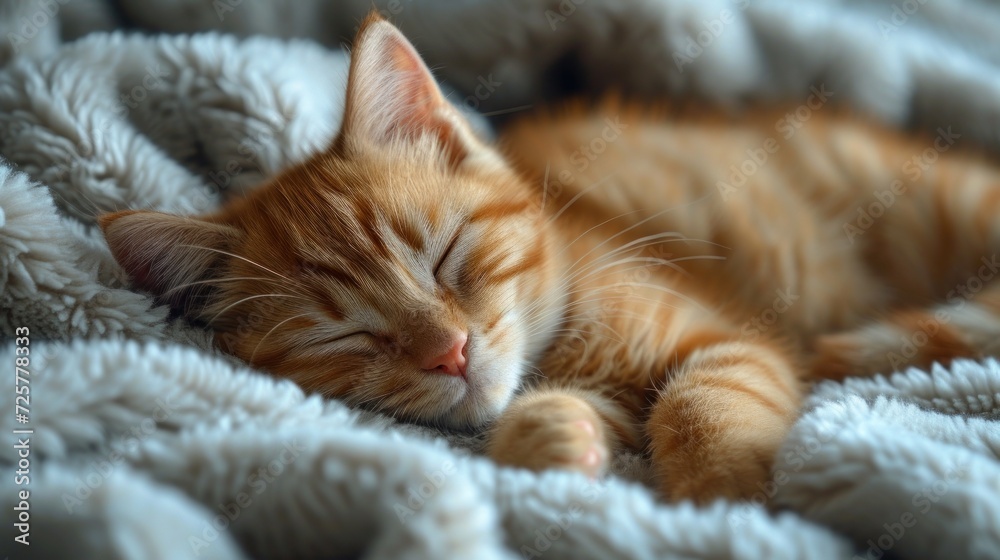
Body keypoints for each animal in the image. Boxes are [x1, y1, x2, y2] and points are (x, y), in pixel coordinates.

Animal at [99, 14, 1000, 504]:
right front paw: (548, 437)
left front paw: (720, 497)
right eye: (345, 335)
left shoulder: (734, 338)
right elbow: (548, 418)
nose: (450, 351)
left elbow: (698, 401)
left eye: (444, 258)